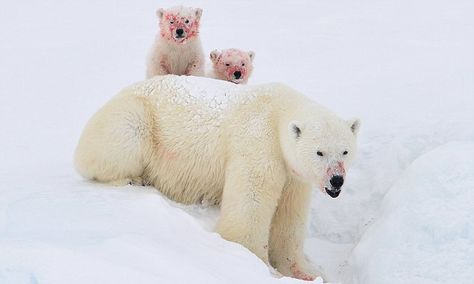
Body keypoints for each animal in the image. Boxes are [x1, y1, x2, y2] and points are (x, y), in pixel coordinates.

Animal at [76, 74, 362, 280]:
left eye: (345, 151)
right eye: (319, 152)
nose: (336, 180)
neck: (278, 110)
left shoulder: (294, 174)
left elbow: (290, 215)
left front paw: (303, 271)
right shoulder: (258, 141)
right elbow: (251, 203)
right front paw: (255, 264)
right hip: (134, 120)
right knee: (122, 140)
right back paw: (132, 179)